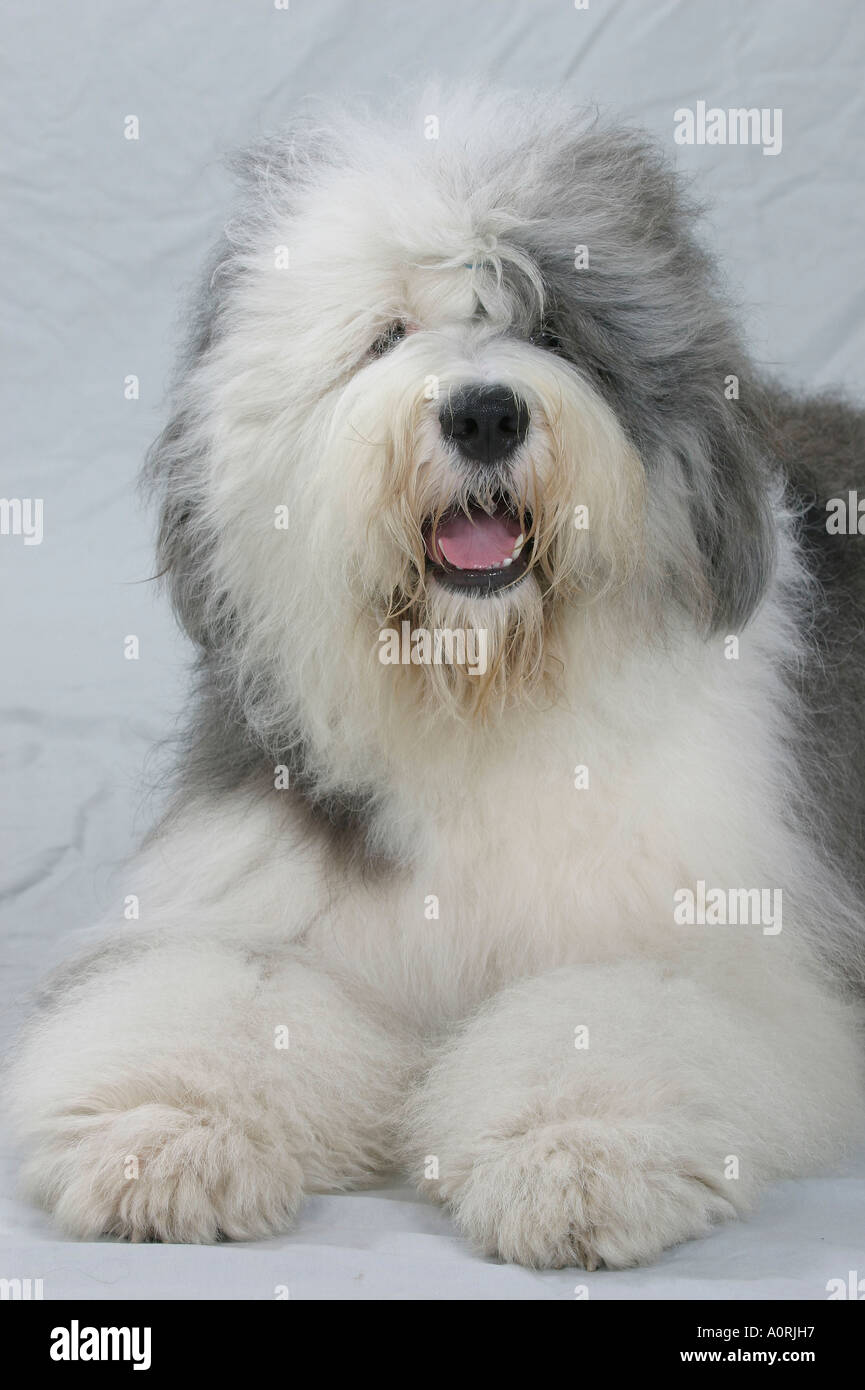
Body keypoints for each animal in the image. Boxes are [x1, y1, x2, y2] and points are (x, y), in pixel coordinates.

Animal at [6, 89, 865, 1273]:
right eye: (387, 334)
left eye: (551, 331)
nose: (485, 413)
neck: (478, 690)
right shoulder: (259, 890)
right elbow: (224, 989)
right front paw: (168, 1130)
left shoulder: (716, 944)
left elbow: (605, 1010)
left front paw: (566, 1154)